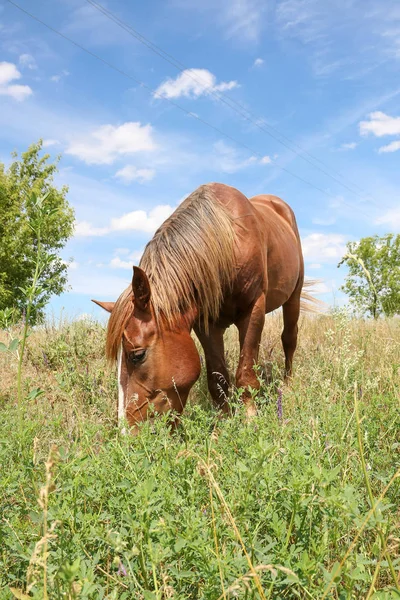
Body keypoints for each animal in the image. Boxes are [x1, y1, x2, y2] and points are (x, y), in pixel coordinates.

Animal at [94, 183, 316, 432]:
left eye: (137, 355)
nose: (126, 433)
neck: (228, 241)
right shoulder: (206, 324)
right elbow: (216, 379)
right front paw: (221, 426)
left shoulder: (253, 311)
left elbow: (246, 374)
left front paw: (250, 421)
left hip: (293, 296)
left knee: (289, 339)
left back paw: (288, 384)